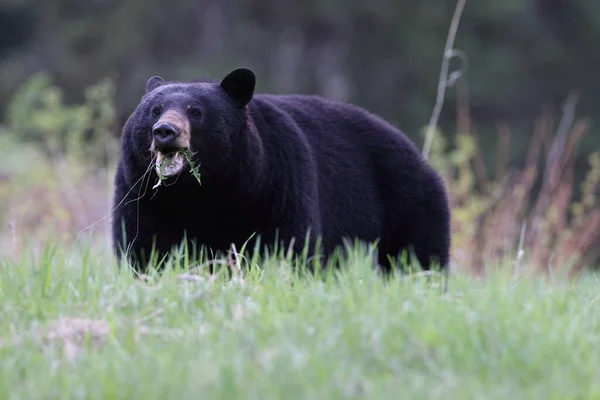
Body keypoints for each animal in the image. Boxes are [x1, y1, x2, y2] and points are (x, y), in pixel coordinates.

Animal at [111, 68, 450, 276]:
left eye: (196, 112)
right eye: (154, 110)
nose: (164, 131)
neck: (201, 193)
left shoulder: (278, 183)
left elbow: (290, 244)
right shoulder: (140, 193)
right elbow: (142, 245)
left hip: (409, 203)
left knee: (420, 256)